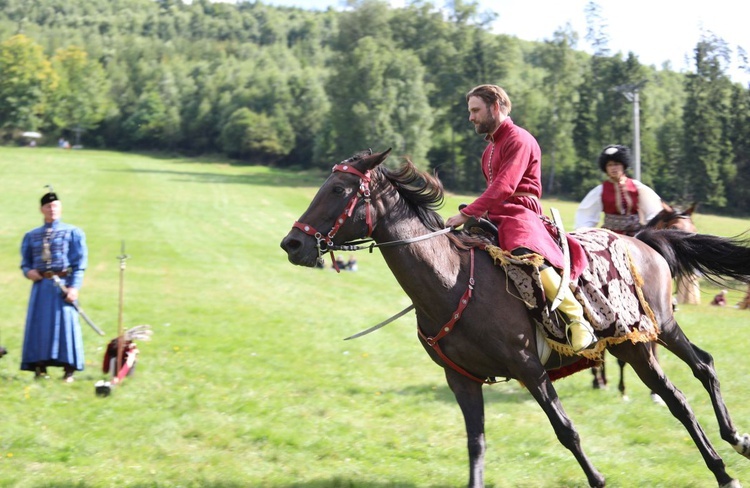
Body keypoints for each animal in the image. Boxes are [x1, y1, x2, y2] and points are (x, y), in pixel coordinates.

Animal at [592, 199, 704, 400]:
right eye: (674, 227)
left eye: (694, 228)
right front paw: (622, 388)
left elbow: (653, 353)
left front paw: (654, 394)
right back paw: (599, 380)